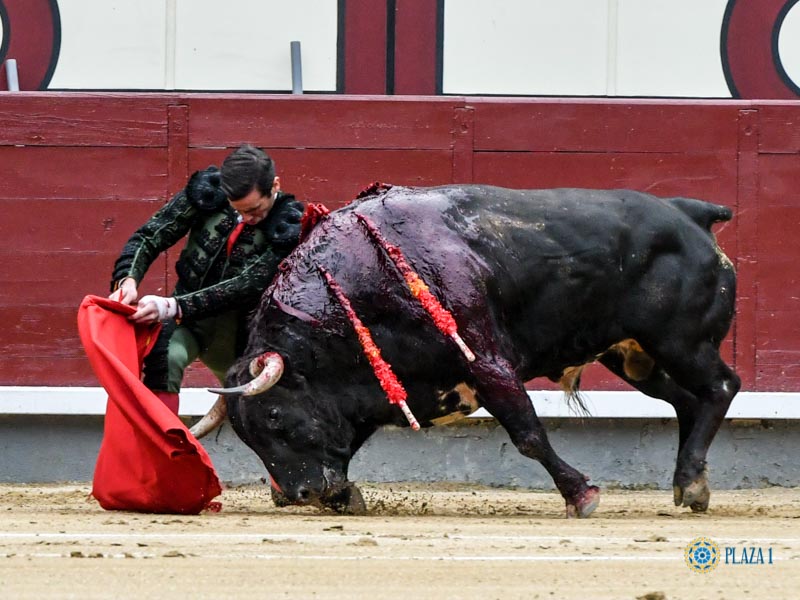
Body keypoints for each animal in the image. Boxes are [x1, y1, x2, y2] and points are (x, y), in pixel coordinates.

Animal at [194, 185, 736, 516]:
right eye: (247, 437)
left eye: (275, 417)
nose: (300, 494)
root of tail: (690, 214)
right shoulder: (385, 385)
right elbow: (349, 439)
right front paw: (345, 496)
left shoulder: (488, 361)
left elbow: (528, 435)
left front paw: (581, 495)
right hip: (632, 357)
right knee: (687, 401)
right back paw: (691, 483)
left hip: (680, 342)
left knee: (721, 387)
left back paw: (691, 481)